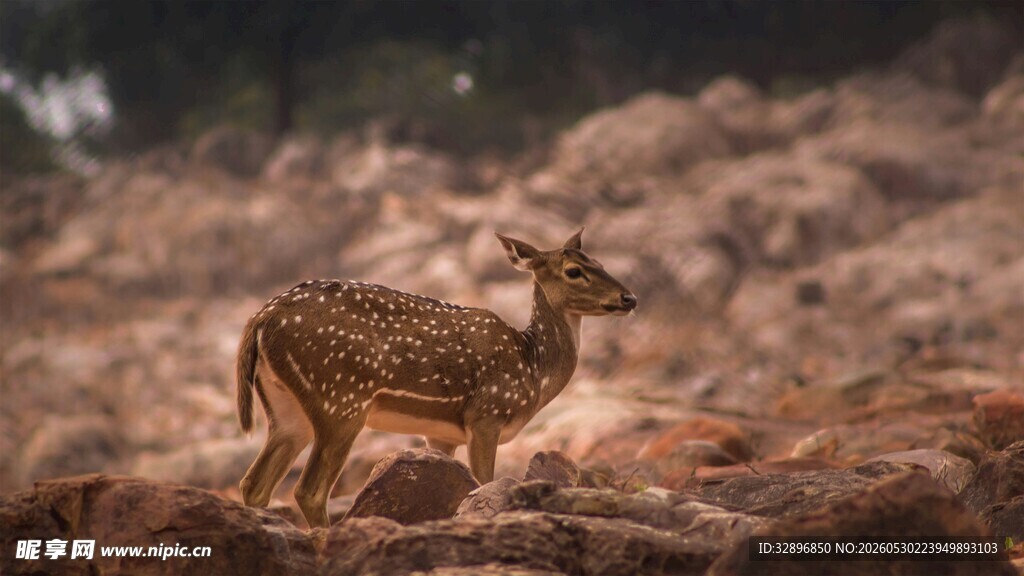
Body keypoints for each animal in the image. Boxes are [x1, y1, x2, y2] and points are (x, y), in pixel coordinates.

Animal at [235, 229, 637, 528]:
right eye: (574, 270)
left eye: (600, 263)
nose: (628, 297)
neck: (532, 370)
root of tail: (260, 318)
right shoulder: (486, 413)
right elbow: (485, 484)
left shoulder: (442, 433)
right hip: (340, 397)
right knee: (309, 490)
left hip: (287, 408)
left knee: (254, 482)